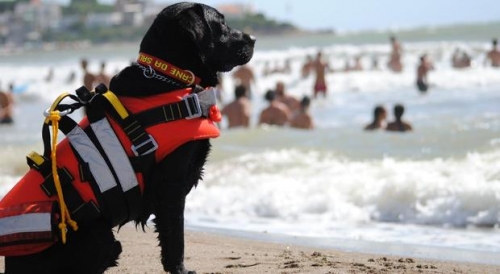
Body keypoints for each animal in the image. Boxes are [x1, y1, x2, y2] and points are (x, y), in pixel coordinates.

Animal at [2, 2, 254, 274]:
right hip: (102, 240)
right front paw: (180, 269)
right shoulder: (171, 188)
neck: (168, 77)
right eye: (222, 23)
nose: (252, 38)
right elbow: (175, 238)